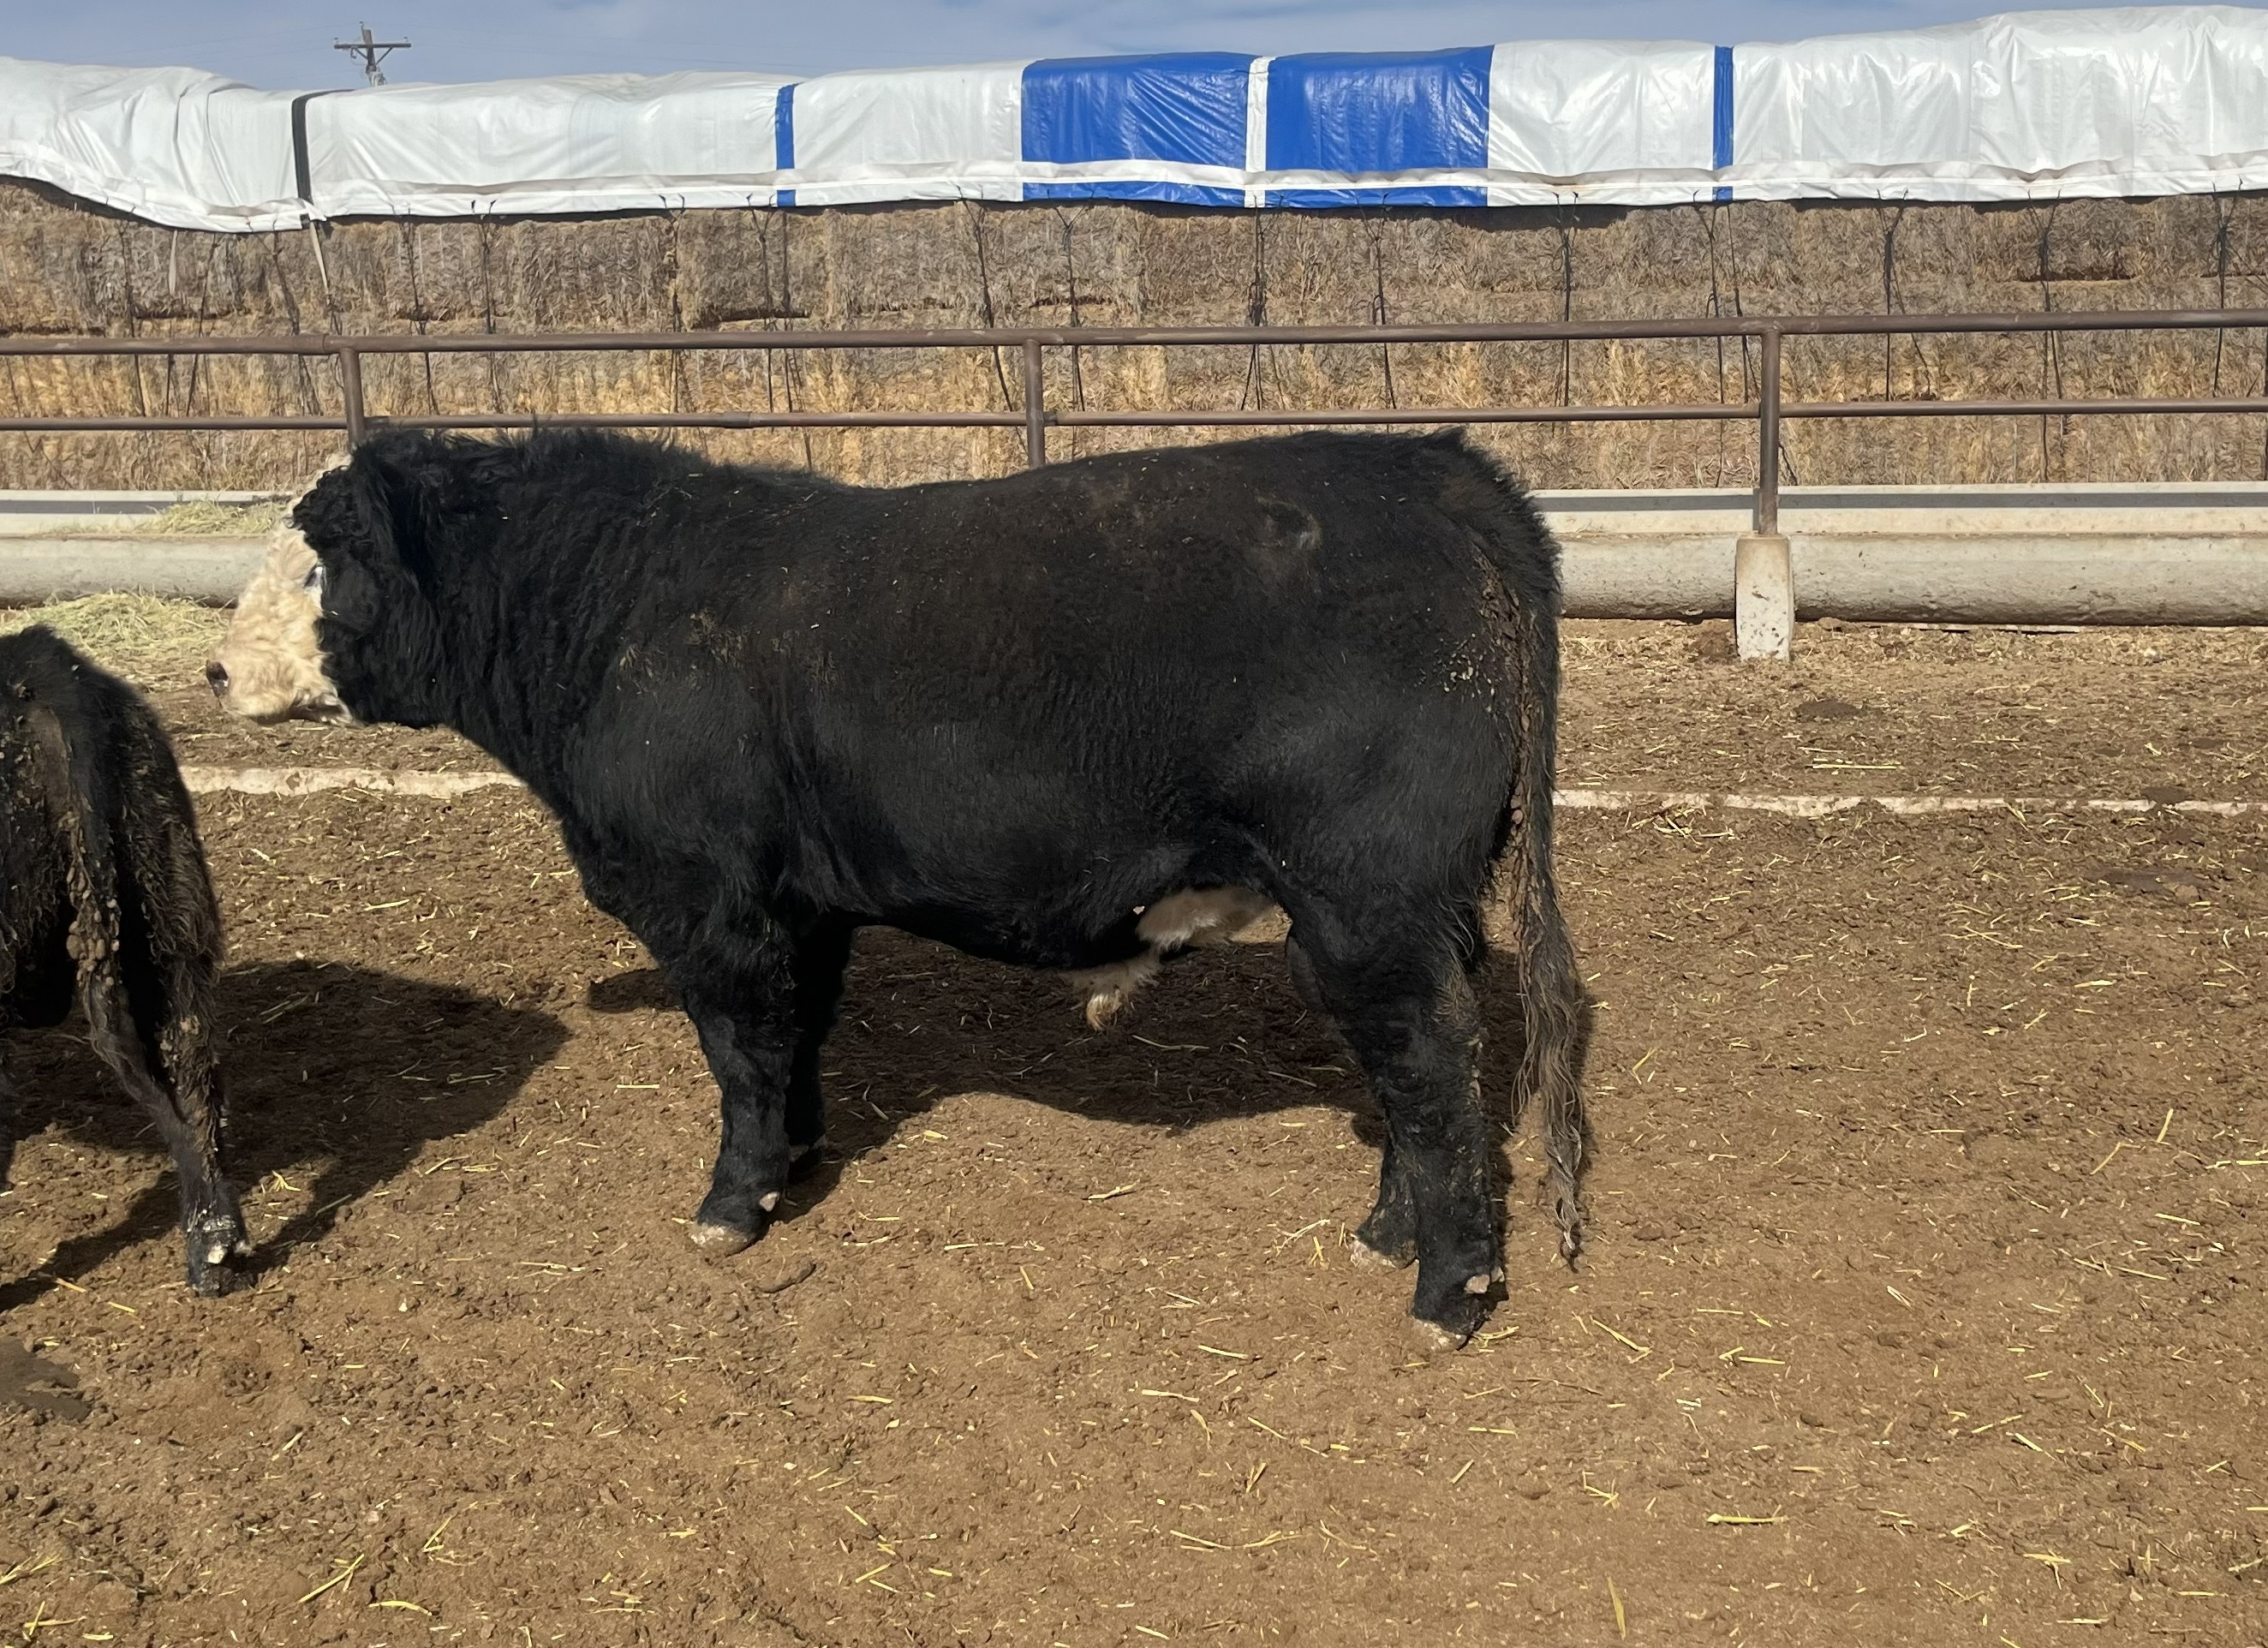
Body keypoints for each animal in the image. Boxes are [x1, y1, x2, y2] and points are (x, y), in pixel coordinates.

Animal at [209, 427, 1588, 1346]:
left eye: (322, 560)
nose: (217, 670)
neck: (618, 614)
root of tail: (1434, 468)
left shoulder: (709, 903)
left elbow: (741, 1052)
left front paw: (730, 1204)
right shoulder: (800, 905)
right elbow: (797, 1038)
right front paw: (795, 1162)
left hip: (1366, 903)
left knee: (1430, 1064)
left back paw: (1447, 1293)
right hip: (1408, 909)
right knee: (1415, 1073)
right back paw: (1386, 1235)